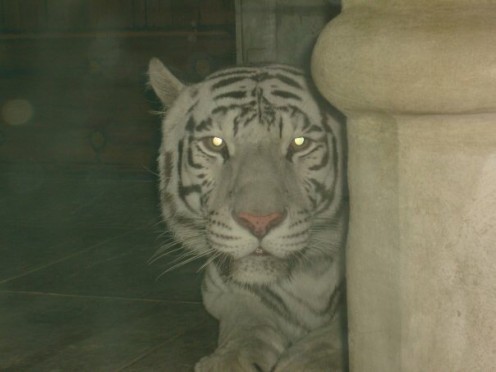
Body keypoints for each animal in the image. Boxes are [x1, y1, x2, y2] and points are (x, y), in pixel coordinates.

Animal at [149, 58, 346, 372]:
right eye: (216, 143)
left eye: (299, 143)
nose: (259, 222)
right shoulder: (222, 291)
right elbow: (248, 324)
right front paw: (227, 361)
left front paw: (307, 361)